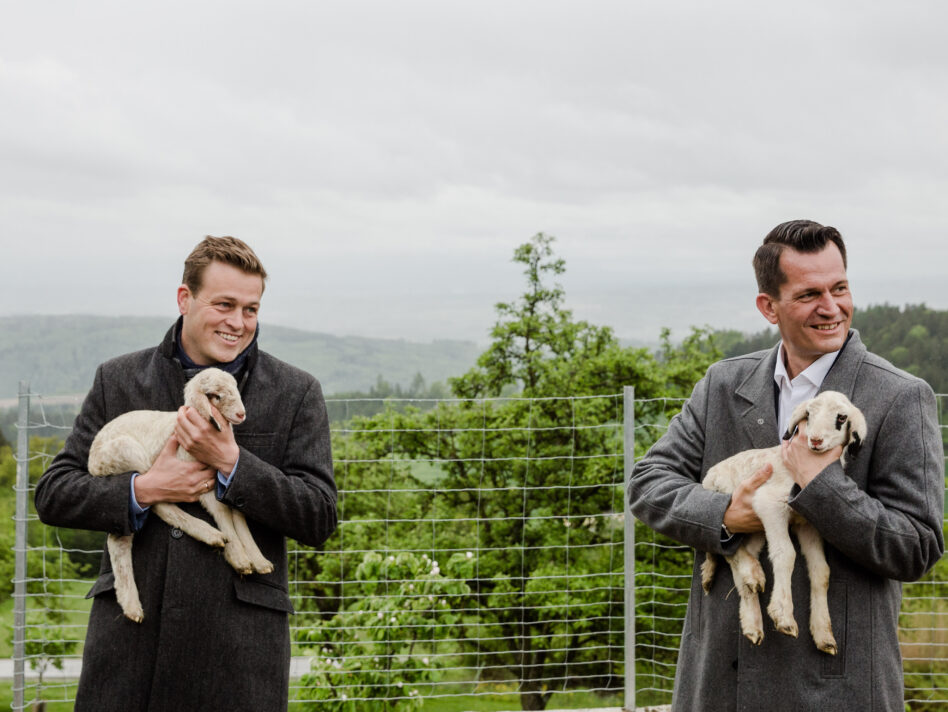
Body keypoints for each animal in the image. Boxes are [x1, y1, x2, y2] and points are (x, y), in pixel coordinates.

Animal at [88, 370, 272, 620]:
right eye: (216, 396)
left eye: (236, 387)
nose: (241, 414)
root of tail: (92, 463)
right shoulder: (201, 480)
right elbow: (222, 512)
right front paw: (239, 557)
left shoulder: (225, 479)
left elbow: (237, 513)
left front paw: (258, 560)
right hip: (130, 455)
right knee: (159, 504)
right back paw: (210, 534)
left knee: (119, 541)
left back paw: (131, 606)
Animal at [700, 392, 864, 652]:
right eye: (809, 413)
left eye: (841, 417)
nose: (815, 440)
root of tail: (708, 476)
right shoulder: (770, 504)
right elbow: (785, 554)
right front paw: (784, 616)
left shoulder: (808, 523)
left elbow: (821, 570)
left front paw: (824, 634)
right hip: (732, 502)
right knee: (727, 549)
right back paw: (751, 577)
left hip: (756, 530)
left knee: (739, 560)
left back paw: (751, 618)